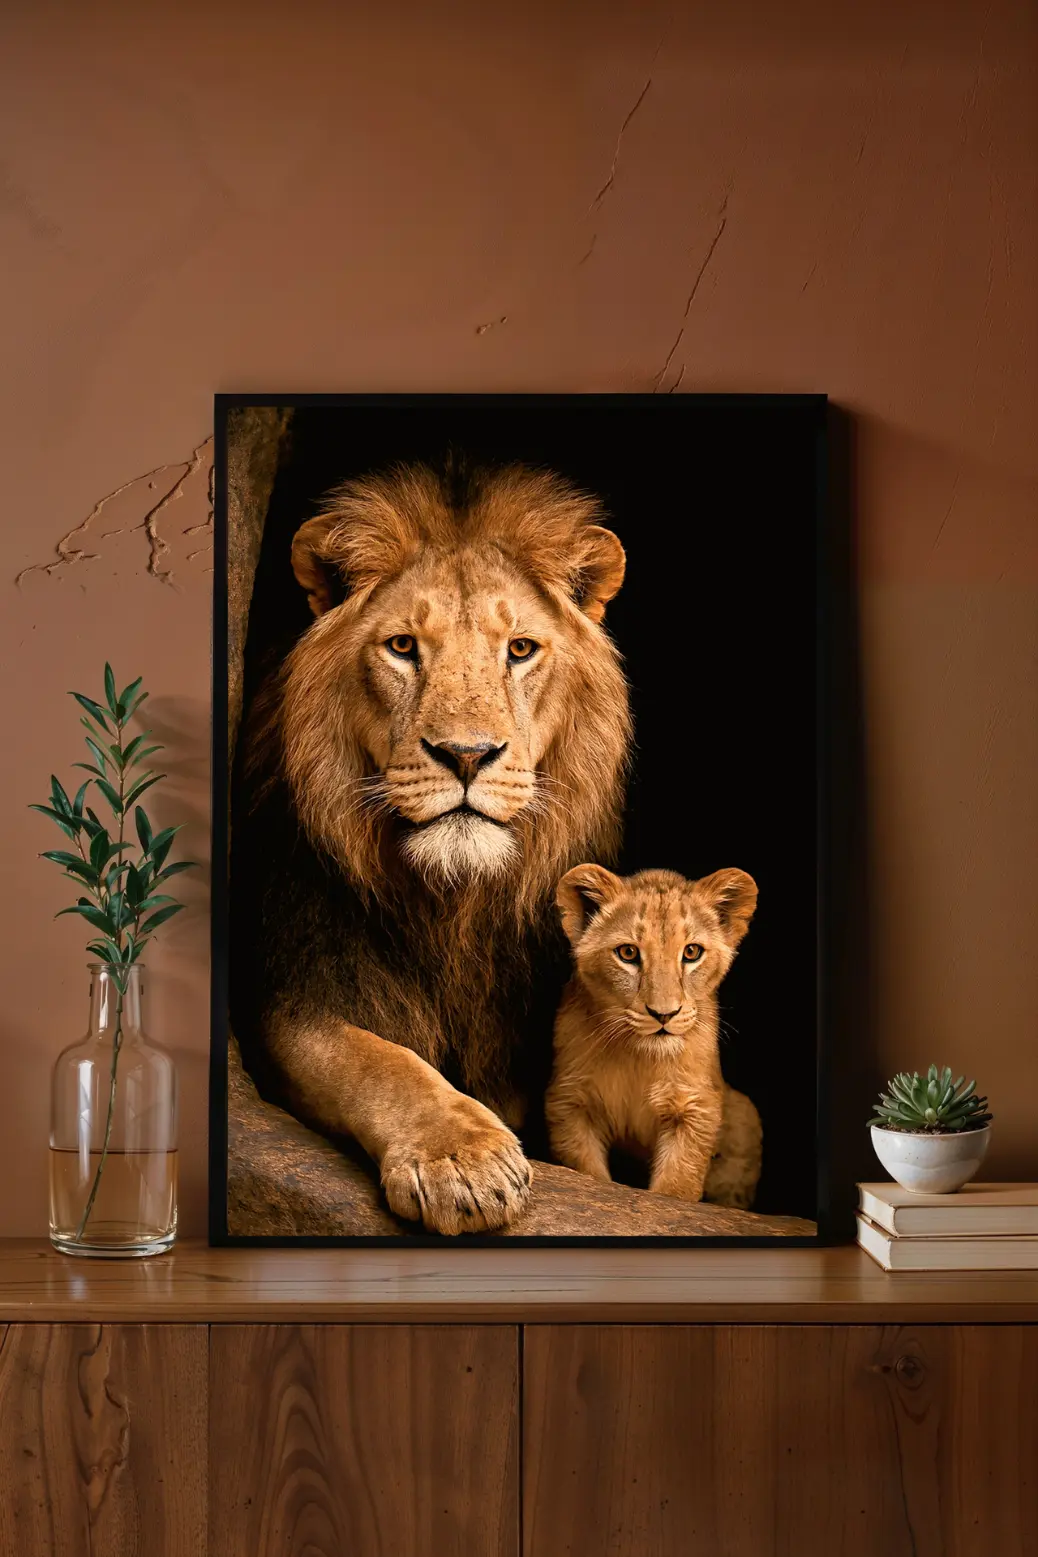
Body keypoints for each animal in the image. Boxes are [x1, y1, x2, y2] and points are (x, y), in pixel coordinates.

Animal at [231, 460, 632, 1235]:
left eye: (520, 649)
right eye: (403, 647)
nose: (466, 755)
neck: (450, 904)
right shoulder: (296, 986)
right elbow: (378, 1061)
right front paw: (462, 1160)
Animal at [545, 864, 763, 1209]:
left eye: (692, 952)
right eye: (628, 953)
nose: (664, 1014)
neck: (639, 1057)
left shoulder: (696, 1105)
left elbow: (677, 1186)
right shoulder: (569, 1103)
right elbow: (587, 1174)